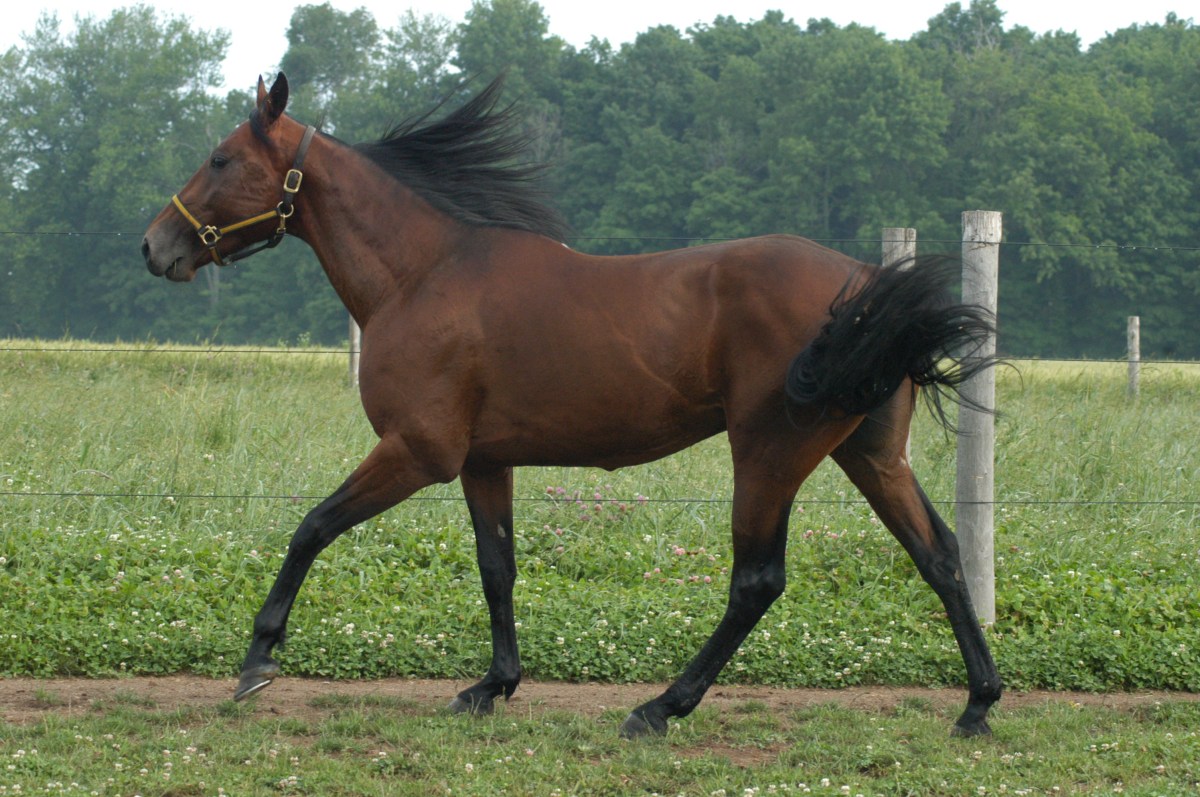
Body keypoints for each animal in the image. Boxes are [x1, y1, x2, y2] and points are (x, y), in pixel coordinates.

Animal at [141, 73, 1002, 738]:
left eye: (220, 158)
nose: (155, 246)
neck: (421, 274)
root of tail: (867, 290)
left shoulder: (417, 452)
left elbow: (312, 527)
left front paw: (258, 658)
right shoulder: (484, 462)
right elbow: (497, 567)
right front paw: (492, 684)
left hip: (770, 453)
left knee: (757, 581)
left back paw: (660, 707)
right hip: (869, 454)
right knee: (940, 554)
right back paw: (978, 704)